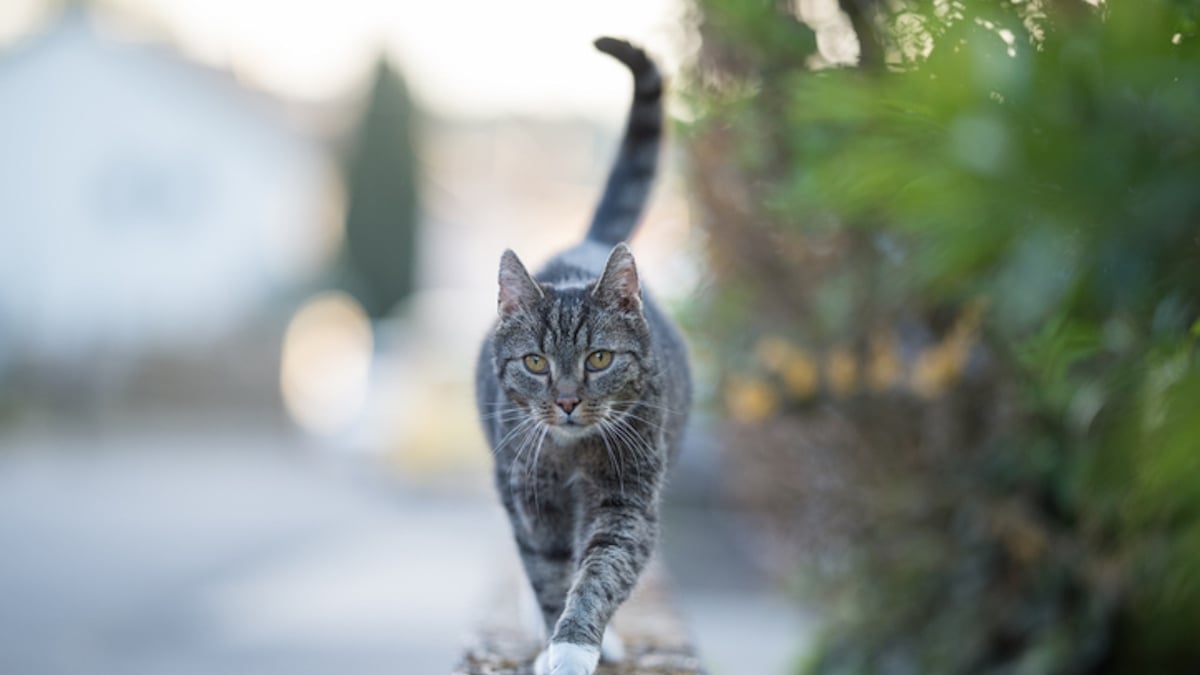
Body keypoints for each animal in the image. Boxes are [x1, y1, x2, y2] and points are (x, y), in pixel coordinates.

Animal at [472, 38, 691, 672]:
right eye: (535, 363)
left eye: (598, 359)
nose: (568, 402)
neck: (573, 455)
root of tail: (586, 245)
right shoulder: (530, 494)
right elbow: (548, 573)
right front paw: (553, 643)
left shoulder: (628, 500)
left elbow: (599, 573)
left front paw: (574, 646)